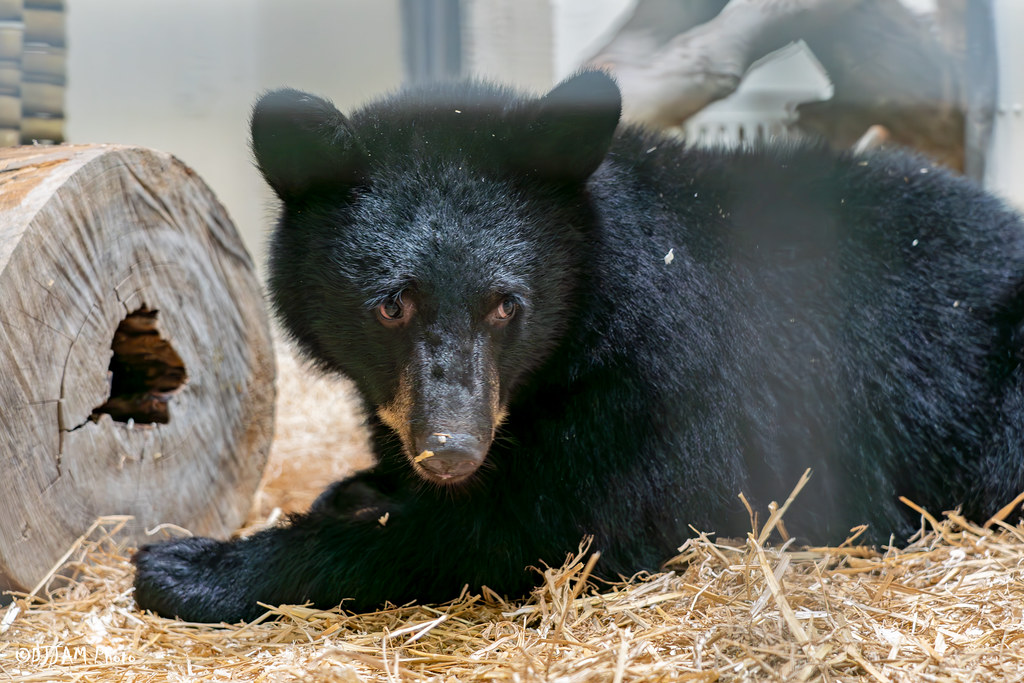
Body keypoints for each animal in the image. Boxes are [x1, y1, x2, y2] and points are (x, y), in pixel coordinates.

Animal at [132, 69, 1024, 623]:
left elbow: (532, 529)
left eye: (506, 304)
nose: (450, 449)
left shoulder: (654, 395)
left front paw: (188, 566)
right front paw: (352, 487)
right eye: (390, 304)